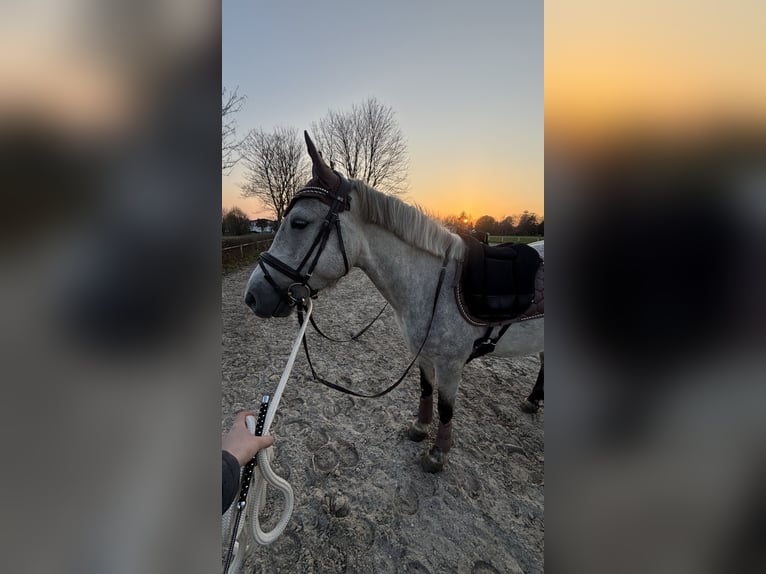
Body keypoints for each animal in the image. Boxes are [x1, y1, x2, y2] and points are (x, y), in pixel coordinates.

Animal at [244, 132, 544, 472]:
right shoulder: (424, 355)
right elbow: (425, 391)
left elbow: (446, 408)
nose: (252, 296)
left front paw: (437, 454)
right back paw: (533, 400)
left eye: (299, 223)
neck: (434, 284)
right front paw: (419, 429)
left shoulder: (451, 364)